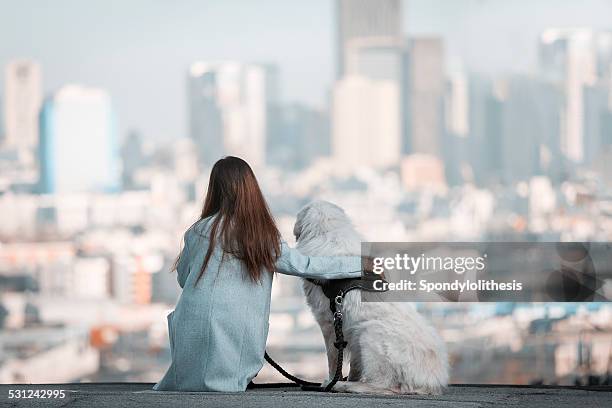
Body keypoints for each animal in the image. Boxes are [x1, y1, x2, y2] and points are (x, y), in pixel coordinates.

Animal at [296, 201, 450, 396]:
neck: (330, 232)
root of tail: (432, 381)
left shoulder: (329, 325)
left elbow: (333, 361)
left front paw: (331, 381)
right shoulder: (348, 331)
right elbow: (354, 365)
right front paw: (347, 377)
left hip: (369, 332)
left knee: (382, 385)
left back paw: (344, 386)